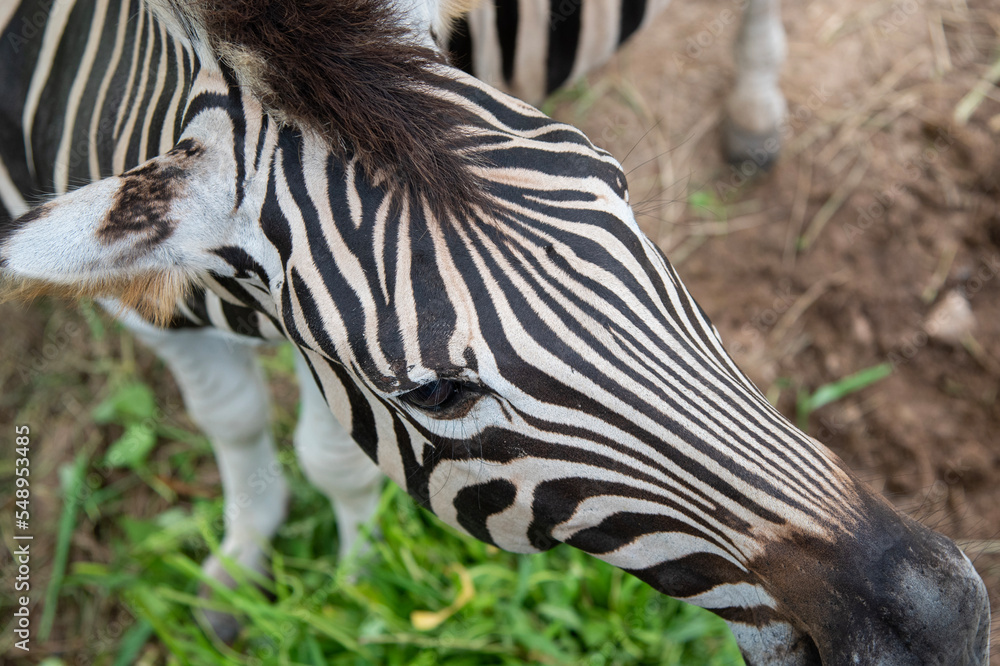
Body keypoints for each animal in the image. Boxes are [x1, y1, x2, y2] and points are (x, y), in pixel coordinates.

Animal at [0, 0, 990, 664]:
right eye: (435, 393)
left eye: (620, 186)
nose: (941, 624)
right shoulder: (132, 298)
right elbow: (231, 422)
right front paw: (242, 565)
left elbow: (331, 461)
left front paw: (359, 582)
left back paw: (753, 104)